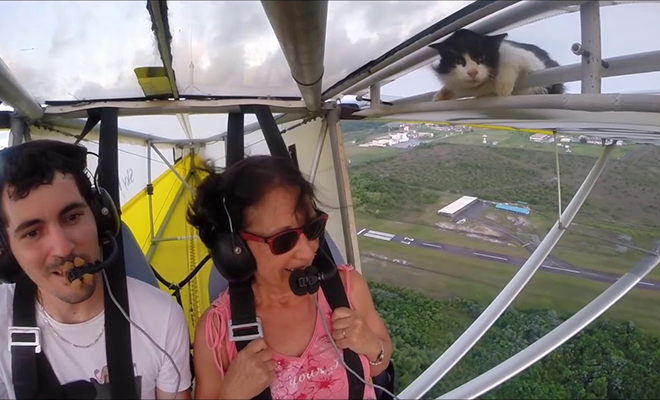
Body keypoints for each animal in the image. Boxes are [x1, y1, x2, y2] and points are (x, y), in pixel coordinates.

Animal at [430, 29, 564, 101]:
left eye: (481, 57)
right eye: (458, 61)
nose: (472, 72)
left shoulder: (535, 62)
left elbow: (511, 57)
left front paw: (503, 86)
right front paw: (441, 94)